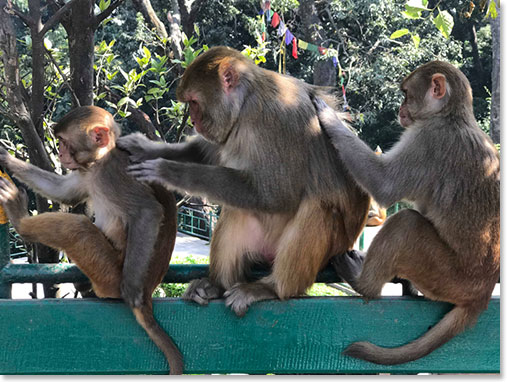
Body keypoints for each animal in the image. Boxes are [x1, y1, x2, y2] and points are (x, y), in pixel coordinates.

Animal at [0, 106, 185, 374]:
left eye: (65, 142)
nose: (60, 153)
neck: (100, 162)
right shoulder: (86, 172)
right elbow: (64, 192)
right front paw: (6, 158)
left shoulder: (115, 174)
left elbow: (148, 211)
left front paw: (133, 293)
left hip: (109, 274)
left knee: (77, 228)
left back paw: (20, 220)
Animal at [117, 46, 372, 316]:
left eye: (194, 102)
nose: (194, 121)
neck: (246, 103)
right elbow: (205, 153)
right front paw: (143, 149)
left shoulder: (276, 119)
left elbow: (276, 195)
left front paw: (168, 171)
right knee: (237, 209)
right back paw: (216, 286)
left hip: (328, 251)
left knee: (318, 207)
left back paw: (272, 288)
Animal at [314, 61, 500, 366]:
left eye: (406, 94)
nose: (400, 110)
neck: (450, 116)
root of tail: (482, 292)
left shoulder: (426, 140)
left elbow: (384, 185)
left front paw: (328, 117)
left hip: (448, 275)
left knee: (406, 223)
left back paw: (364, 284)